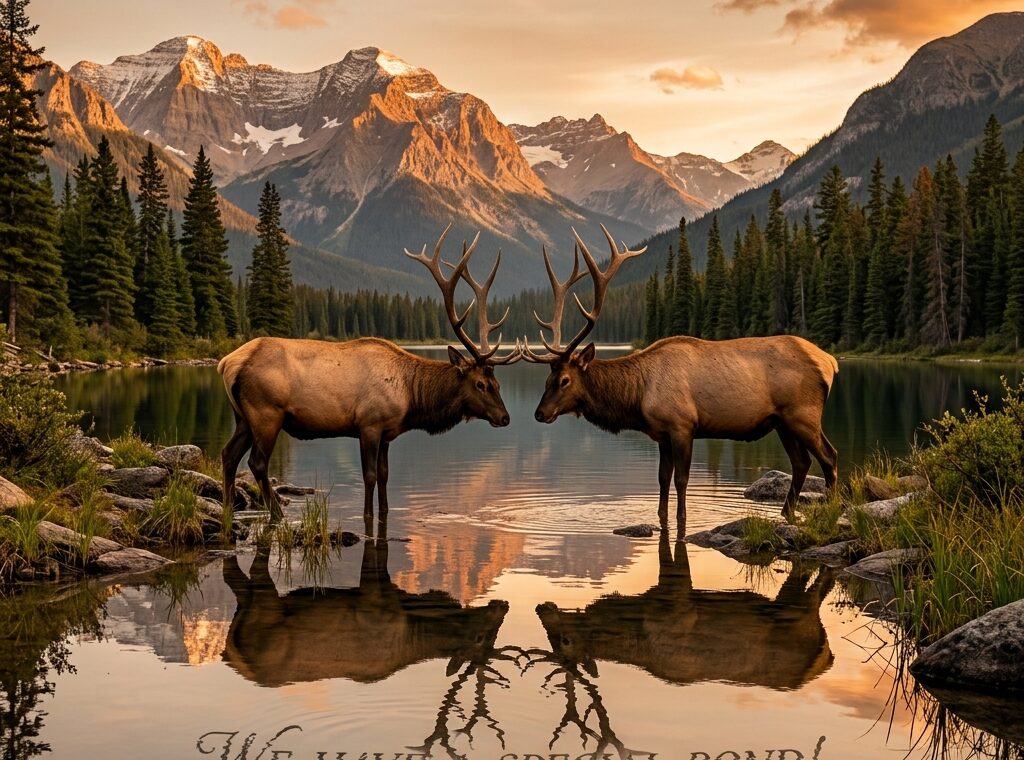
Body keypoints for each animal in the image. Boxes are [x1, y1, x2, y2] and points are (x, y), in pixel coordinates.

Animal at [218, 226, 520, 520]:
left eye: (497, 383)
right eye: (480, 384)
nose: (505, 417)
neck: (411, 396)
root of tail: (228, 363)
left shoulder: (387, 433)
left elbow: (385, 476)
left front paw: (384, 512)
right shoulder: (369, 424)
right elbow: (370, 477)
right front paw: (366, 515)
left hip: (243, 417)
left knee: (228, 454)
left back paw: (229, 508)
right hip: (266, 413)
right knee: (257, 462)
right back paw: (277, 514)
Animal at [522, 225, 839, 525]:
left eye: (564, 380)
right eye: (547, 380)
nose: (539, 413)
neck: (638, 396)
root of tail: (831, 361)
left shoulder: (683, 426)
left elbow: (681, 480)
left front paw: (682, 519)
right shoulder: (662, 435)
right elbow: (663, 479)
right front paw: (660, 516)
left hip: (803, 414)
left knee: (829, 457)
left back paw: (831, 510)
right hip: (782, 422)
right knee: (801, 463)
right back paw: (786, 512)